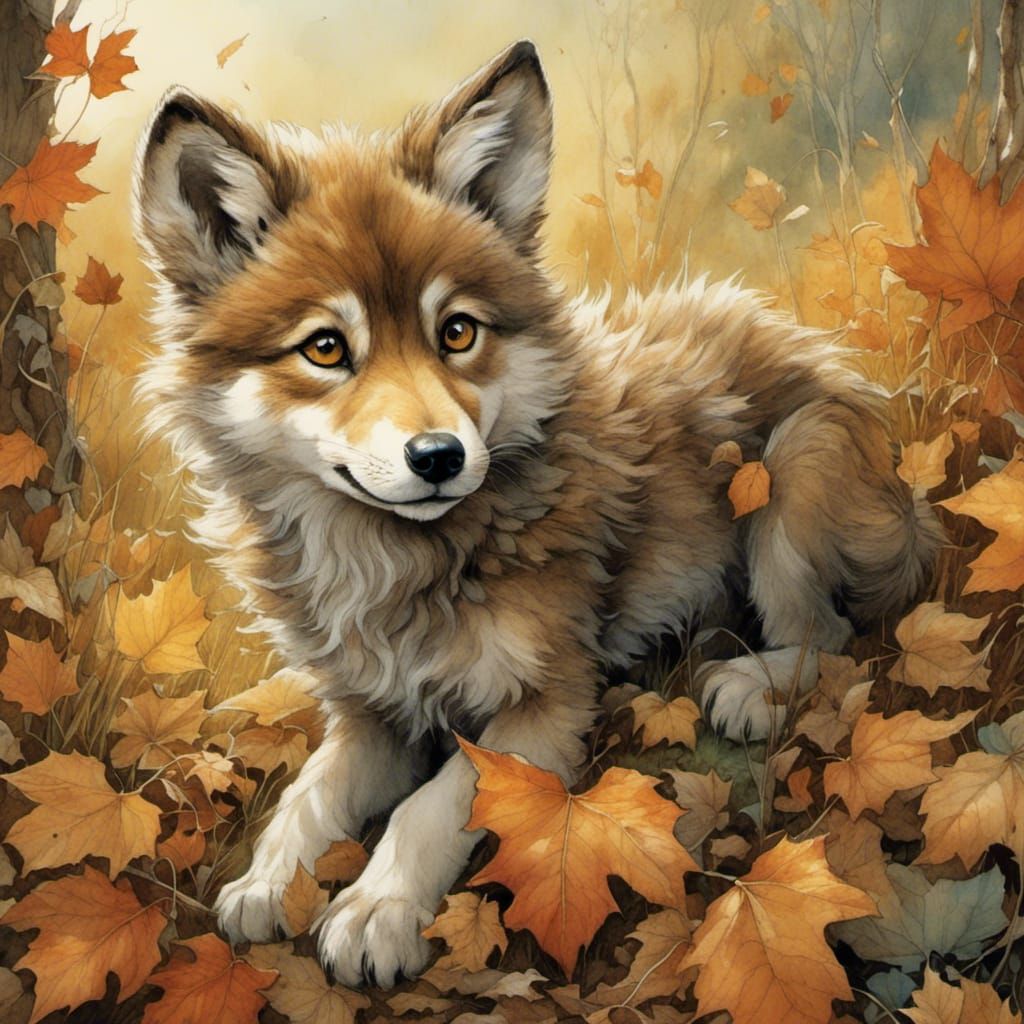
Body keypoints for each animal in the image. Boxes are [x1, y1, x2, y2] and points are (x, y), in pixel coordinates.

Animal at [133, 40, 939, 986]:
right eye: (325, 348)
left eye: (457, 332)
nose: (439, 458)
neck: (395, 564)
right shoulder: (372, 716)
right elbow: (307, 796)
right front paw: (266, 883)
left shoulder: (544, 706)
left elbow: (429, 808)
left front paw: (374, 911)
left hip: (792, 468)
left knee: (834, 639)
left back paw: (748, 684)